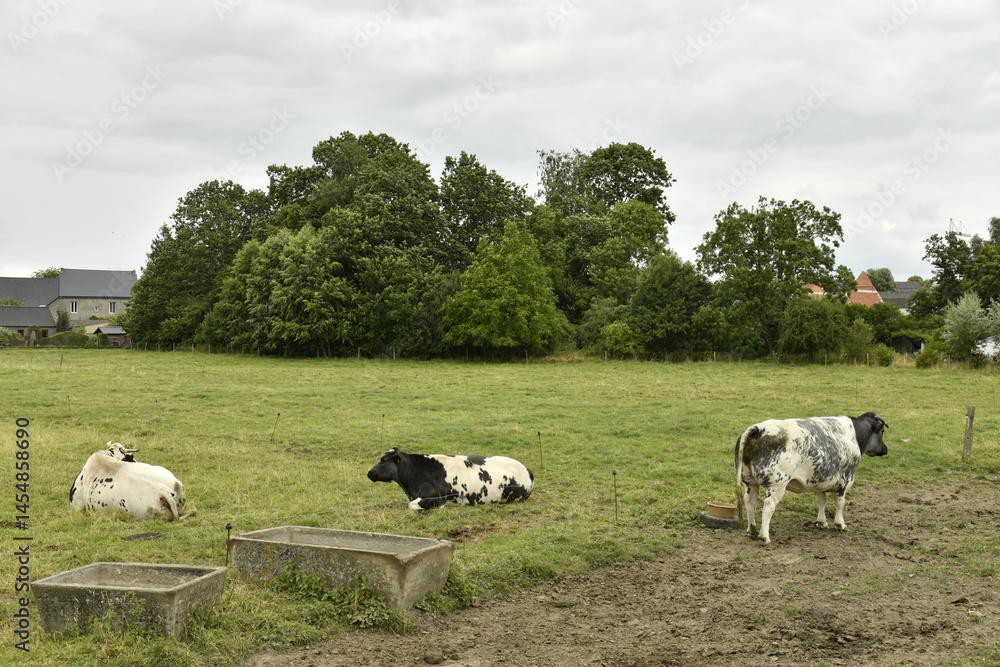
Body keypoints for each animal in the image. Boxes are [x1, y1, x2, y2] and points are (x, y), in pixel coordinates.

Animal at [734, 412, 888, 545]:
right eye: (881, 431)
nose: (885, 449)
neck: (854, 434)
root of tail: (759, 429)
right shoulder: (846, 477)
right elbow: (840, 502)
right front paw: (840, 524)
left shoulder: (820, 480)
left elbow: (821, 501)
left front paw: (822, 522)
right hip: (777, 485)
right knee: (768, 506)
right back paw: (764, 536)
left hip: (750, 482)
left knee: (750, 502)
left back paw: (752, 531)